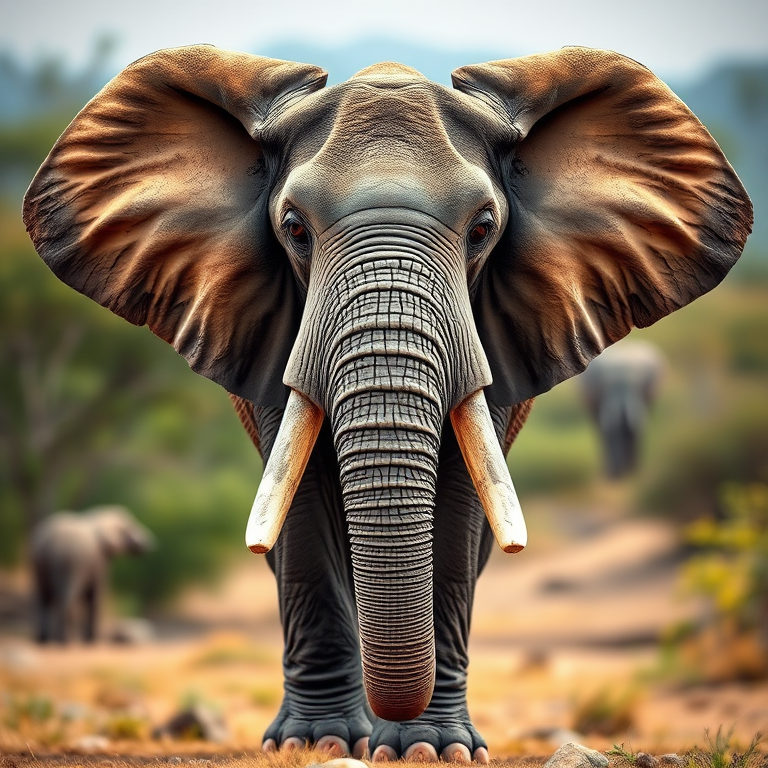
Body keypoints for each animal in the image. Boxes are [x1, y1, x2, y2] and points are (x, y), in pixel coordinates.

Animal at [30, 506, 155, 644]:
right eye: (130, 526)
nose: (151, 543)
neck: (98, 515)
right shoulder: (99, 562)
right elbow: (95, 596)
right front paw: (92, 640)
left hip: (40, 564)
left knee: (44, 597)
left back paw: (45, 639)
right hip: (71, 563)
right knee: (66, 597)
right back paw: (66, 640)